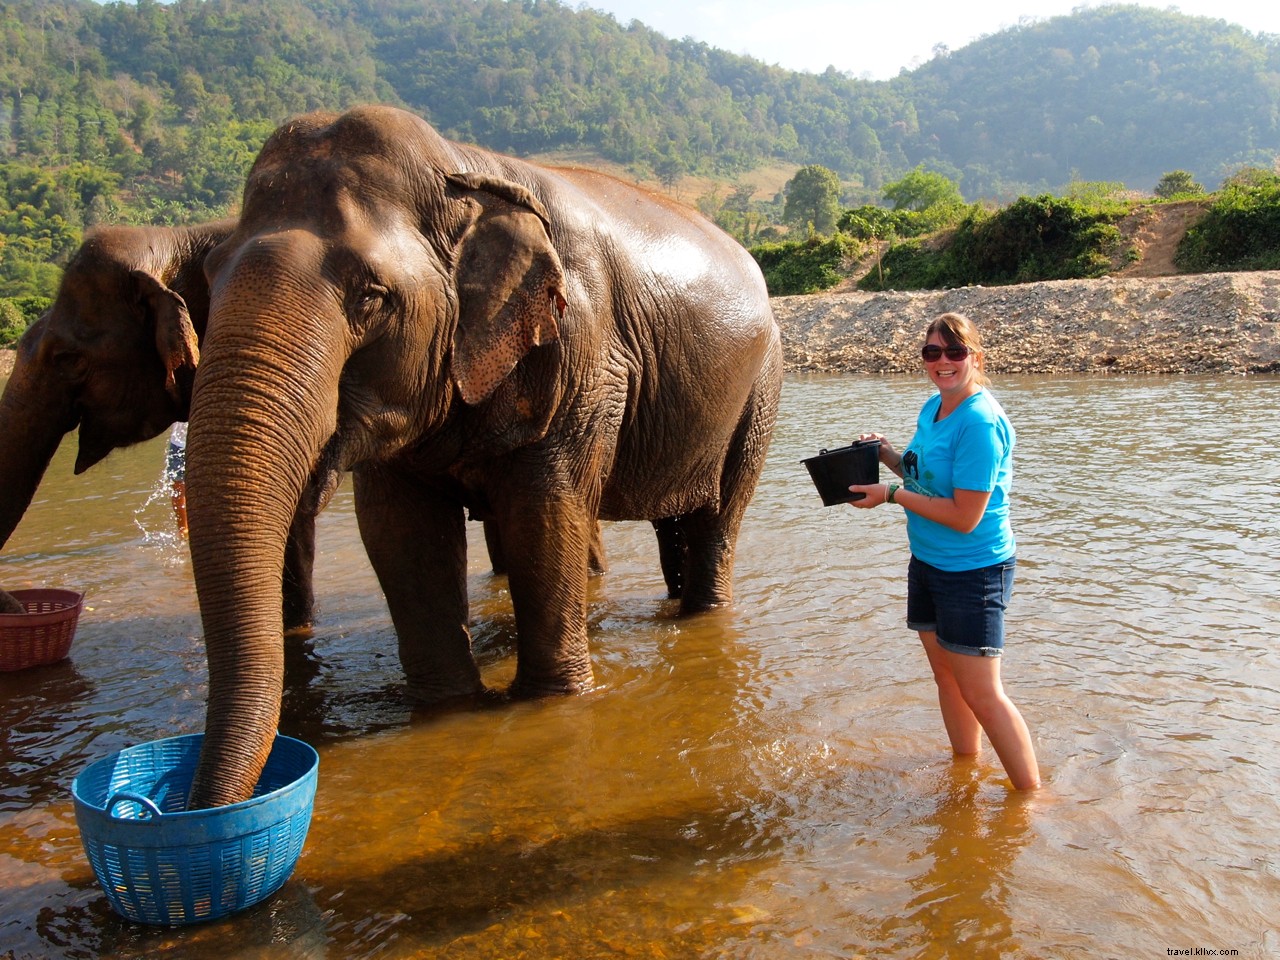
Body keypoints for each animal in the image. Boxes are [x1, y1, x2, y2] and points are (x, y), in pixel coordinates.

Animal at [180, 104, 778, 808]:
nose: (190, 809)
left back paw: (700, 616)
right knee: (675, 520)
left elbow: (542, 515)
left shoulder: (582, 352)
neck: (462, 168)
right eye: (209, 280)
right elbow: (400, 533)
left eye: (371, 296)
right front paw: (446, 709)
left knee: (719, 515)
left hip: (760, 389)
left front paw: (552, 703)